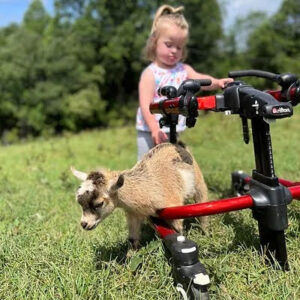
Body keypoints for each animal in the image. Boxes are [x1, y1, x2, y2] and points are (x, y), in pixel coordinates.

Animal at [71, 143, 207, 248]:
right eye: (79, 202)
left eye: (99, 203)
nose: (84, 224)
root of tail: (175, 145)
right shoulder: (135, 215)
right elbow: (133, 240)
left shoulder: (174, 208)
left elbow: (178, 232)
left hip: (199, 183)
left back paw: (206, 233)